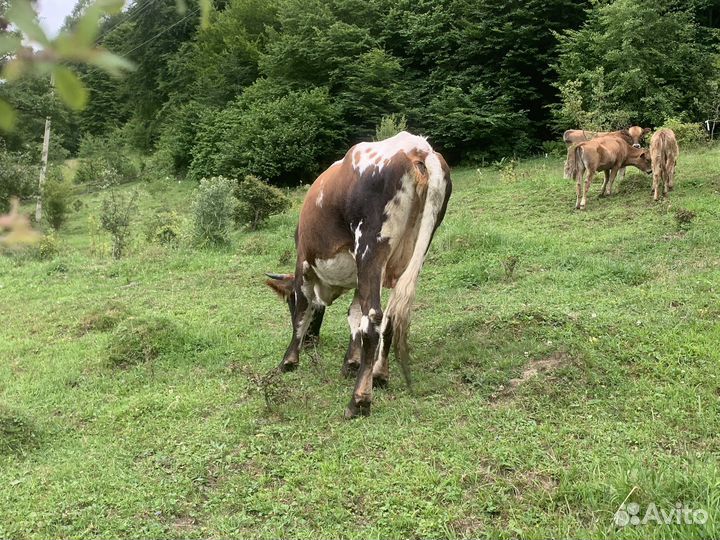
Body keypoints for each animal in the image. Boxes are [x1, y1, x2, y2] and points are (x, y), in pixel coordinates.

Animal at [265, 132, 452, 418]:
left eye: (286, 302)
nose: (311, 342)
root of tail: (417, 147)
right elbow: (353, 315)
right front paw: (351, 362)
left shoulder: (303, 266)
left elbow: (302, 313)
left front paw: (289, 361)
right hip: (413, 253)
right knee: (390, 315)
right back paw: (379, 375)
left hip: (370, 247)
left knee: (373, 318)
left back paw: (359, 400)